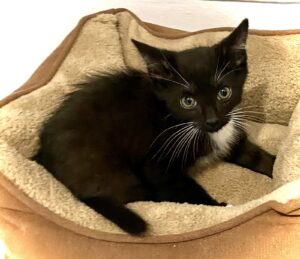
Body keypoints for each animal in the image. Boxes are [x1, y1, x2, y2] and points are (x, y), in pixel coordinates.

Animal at [32, 19, 274, 237]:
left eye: (224, 92)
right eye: (188, 101)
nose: (213, 121)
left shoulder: (228, 132)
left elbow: (254, 154)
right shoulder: (159, 161)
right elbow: (183, 189)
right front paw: (222, 209)